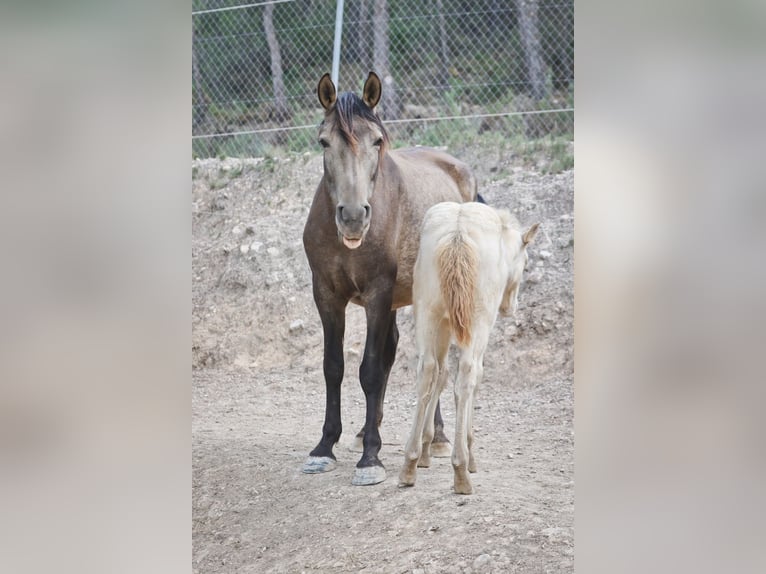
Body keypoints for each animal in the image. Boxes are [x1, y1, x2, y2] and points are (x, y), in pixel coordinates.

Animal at [302, 72, 476, 486]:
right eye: (324, 141)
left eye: (377, 141)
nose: (353, 216)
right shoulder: (326, 295)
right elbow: (334, 367)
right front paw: (325, 447)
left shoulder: (377, 296)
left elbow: (370, 370)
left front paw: (371, 458)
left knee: (435, 364)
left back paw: (438, 438)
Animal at [402, 202, 540, 496]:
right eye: (524, 264)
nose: (510, 307)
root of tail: (458, 233)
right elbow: (472, 378)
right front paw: (469, 452)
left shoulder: (444, 325)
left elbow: (440, 375)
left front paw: (426, 450)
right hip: (477, 321)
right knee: (466, 374)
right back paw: (461, 471)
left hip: (428, 313)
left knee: (427, 370)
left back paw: (409, 465)